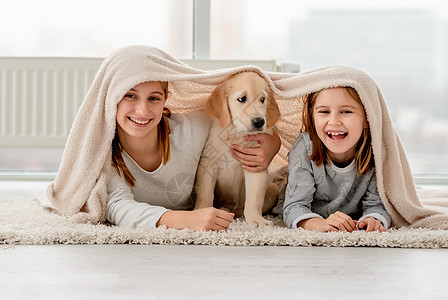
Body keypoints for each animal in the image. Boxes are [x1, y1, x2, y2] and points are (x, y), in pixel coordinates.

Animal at [193, 71, 280, 225]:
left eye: (262, 99)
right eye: (242, 99)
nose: (259, 122)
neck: (236, 135)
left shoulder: (254, 165)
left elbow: (254, 198)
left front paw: (256, 219)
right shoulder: (208, 163)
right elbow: (205, 193)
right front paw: (201, 211)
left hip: (273, 188)